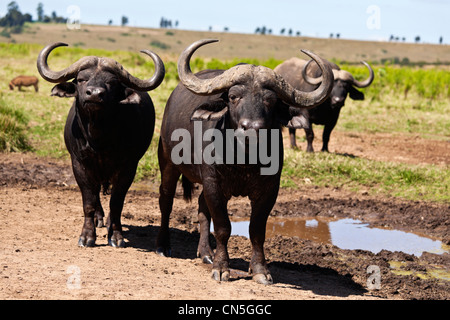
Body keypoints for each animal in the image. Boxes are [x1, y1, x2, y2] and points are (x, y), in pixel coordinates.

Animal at [37, 42, 163, 248]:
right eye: (81, 79)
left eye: (111, 82)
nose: (95, 94)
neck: (99, 138)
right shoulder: (79, 164)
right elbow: (89, 200)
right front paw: (87, 236)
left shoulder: (128, 167)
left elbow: (117, 203)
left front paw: (116, 236)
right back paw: (98, 218)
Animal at [156, 38, 332, 284]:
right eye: (233, 96)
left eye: (270, 100)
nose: (252, 128)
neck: (243, 159)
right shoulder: (214, 184)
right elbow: (223, 227)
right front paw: (222, 268)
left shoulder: (269, 189)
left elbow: (256, 230)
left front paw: (260, 270)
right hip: (168, 164)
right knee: (166, 200)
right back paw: (163, 246)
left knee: (201, 209)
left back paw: (206, 253)